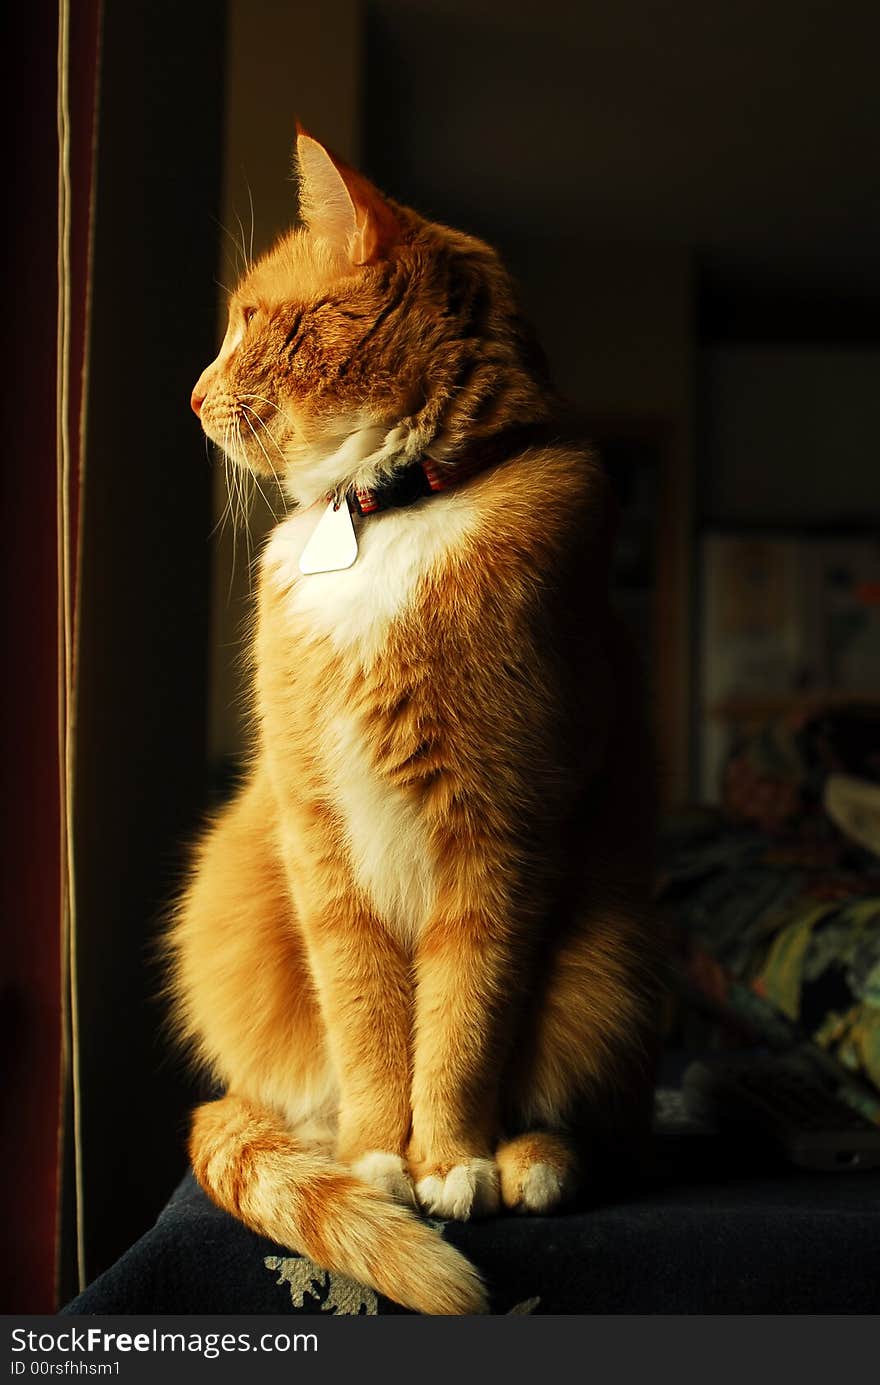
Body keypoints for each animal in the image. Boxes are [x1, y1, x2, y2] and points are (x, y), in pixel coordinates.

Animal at [168, 132, 656, 1318]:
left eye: (250, 321)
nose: (190, 395)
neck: (392, 507)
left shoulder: (501, 835)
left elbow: (465, 1019)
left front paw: (449, 1158)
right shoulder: (317, 835)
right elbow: (366, 1013)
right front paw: (380, 1156)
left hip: (612, 957)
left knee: (580, 1107)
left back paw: (533, 1161)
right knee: (291, 1100)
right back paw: (335, 1147)